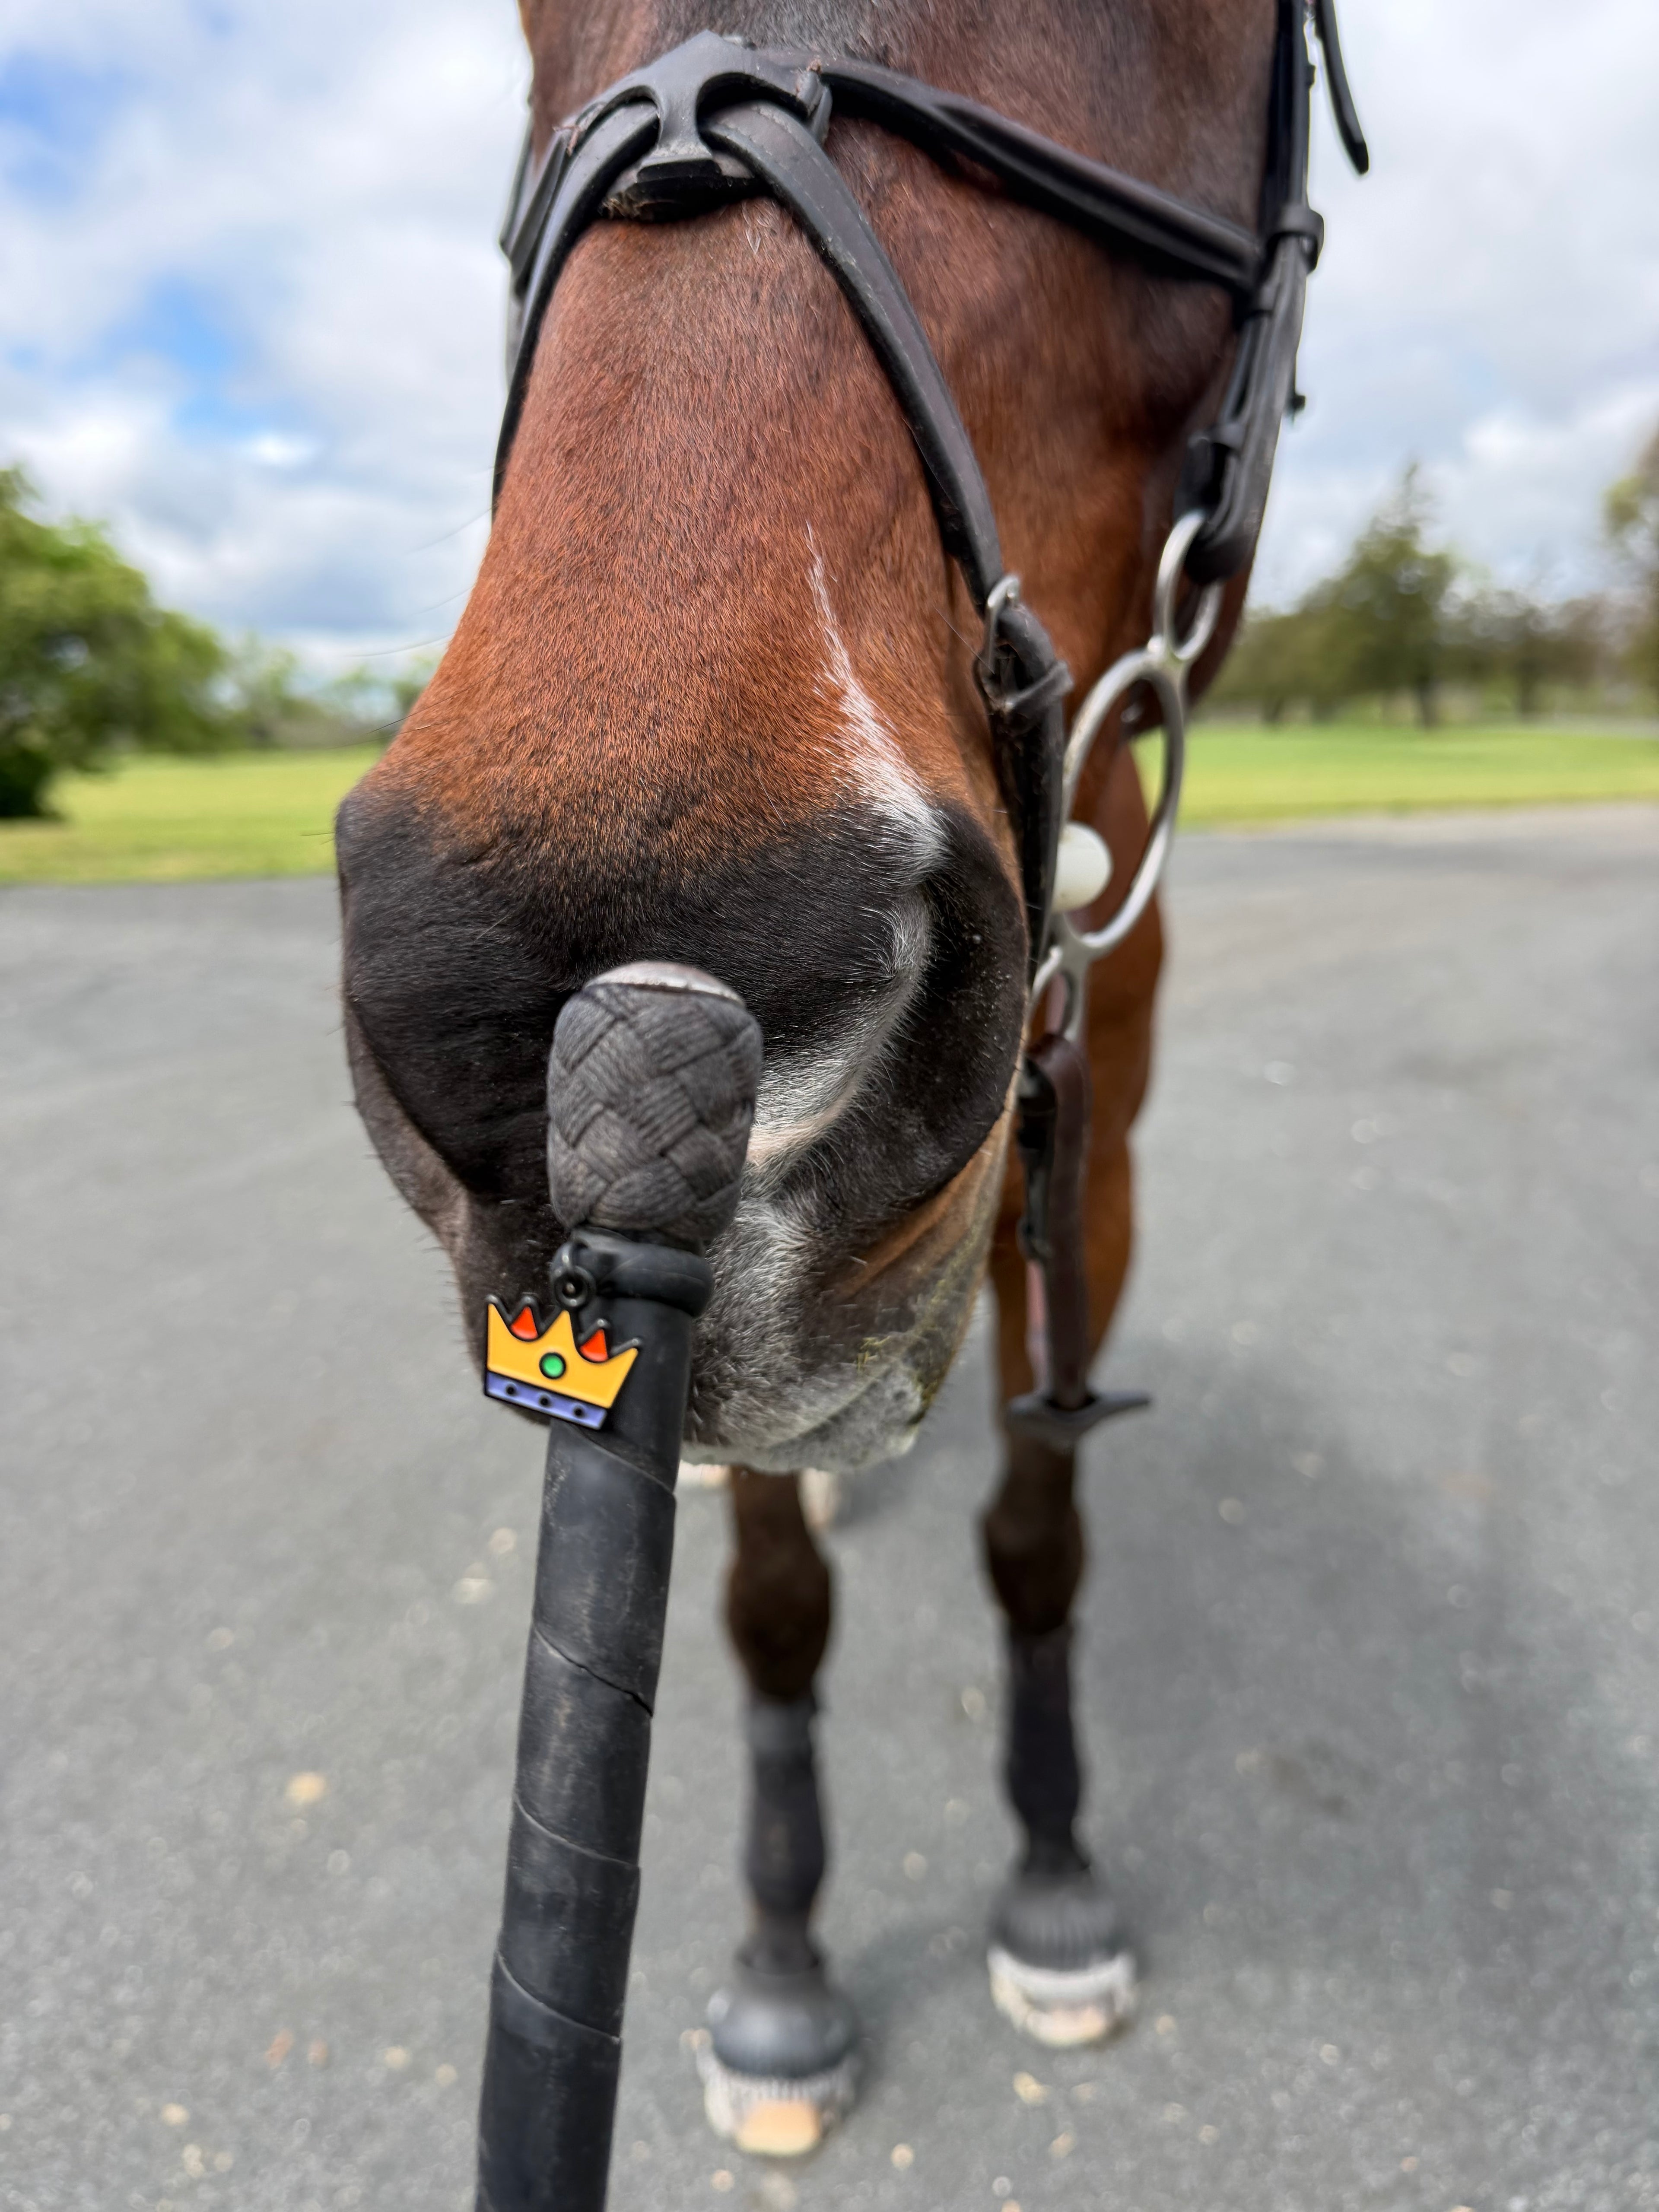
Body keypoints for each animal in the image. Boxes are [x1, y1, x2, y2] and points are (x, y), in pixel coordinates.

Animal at [335, 0, 1364, 2189]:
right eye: (519, 32)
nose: (536, 974)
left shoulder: (1087, 1160)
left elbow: (1039, 1531)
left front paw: (1052, 1874)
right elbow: (768, 1602)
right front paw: (786, 1963)